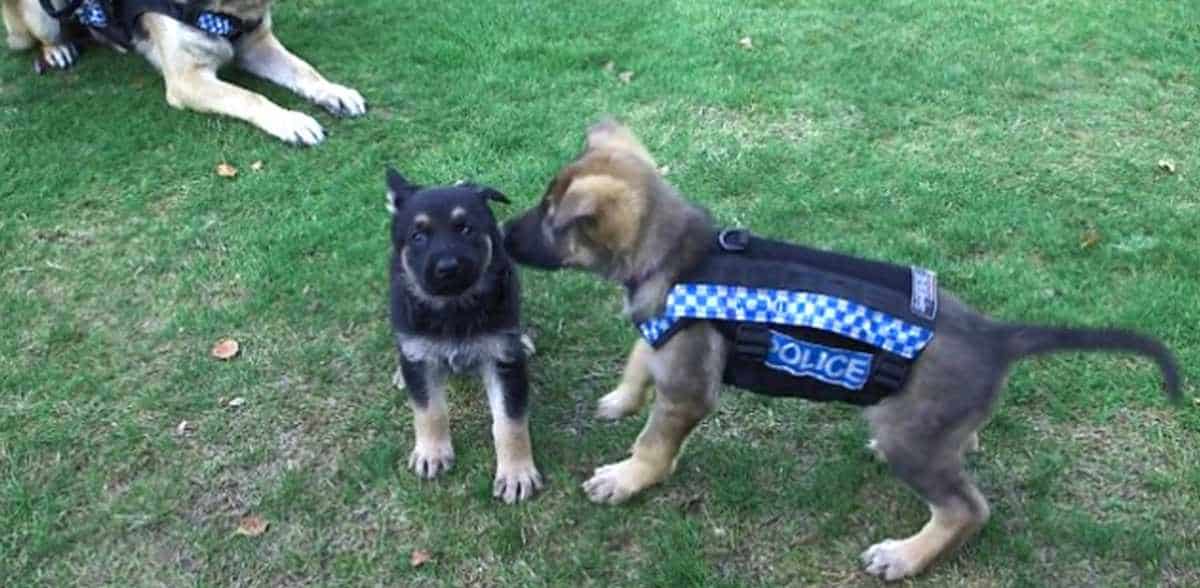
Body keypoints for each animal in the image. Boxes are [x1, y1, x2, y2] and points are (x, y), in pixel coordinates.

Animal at [3, 0, 364, 145]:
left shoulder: (257, 45)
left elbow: (305, 71)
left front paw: (336, 92)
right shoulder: (187, 81)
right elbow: (251, 97)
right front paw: (291, 122)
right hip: (41, 16)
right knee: (40, 34)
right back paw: (58, 48)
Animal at [386, 169, 542, 506]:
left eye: (465, 228)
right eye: (418, 236)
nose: (447, 268)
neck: (454, 308)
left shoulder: (502, 360)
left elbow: (509, 422)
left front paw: (516, 474)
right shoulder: (420, 355)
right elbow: (428, 409)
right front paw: (431, 453)